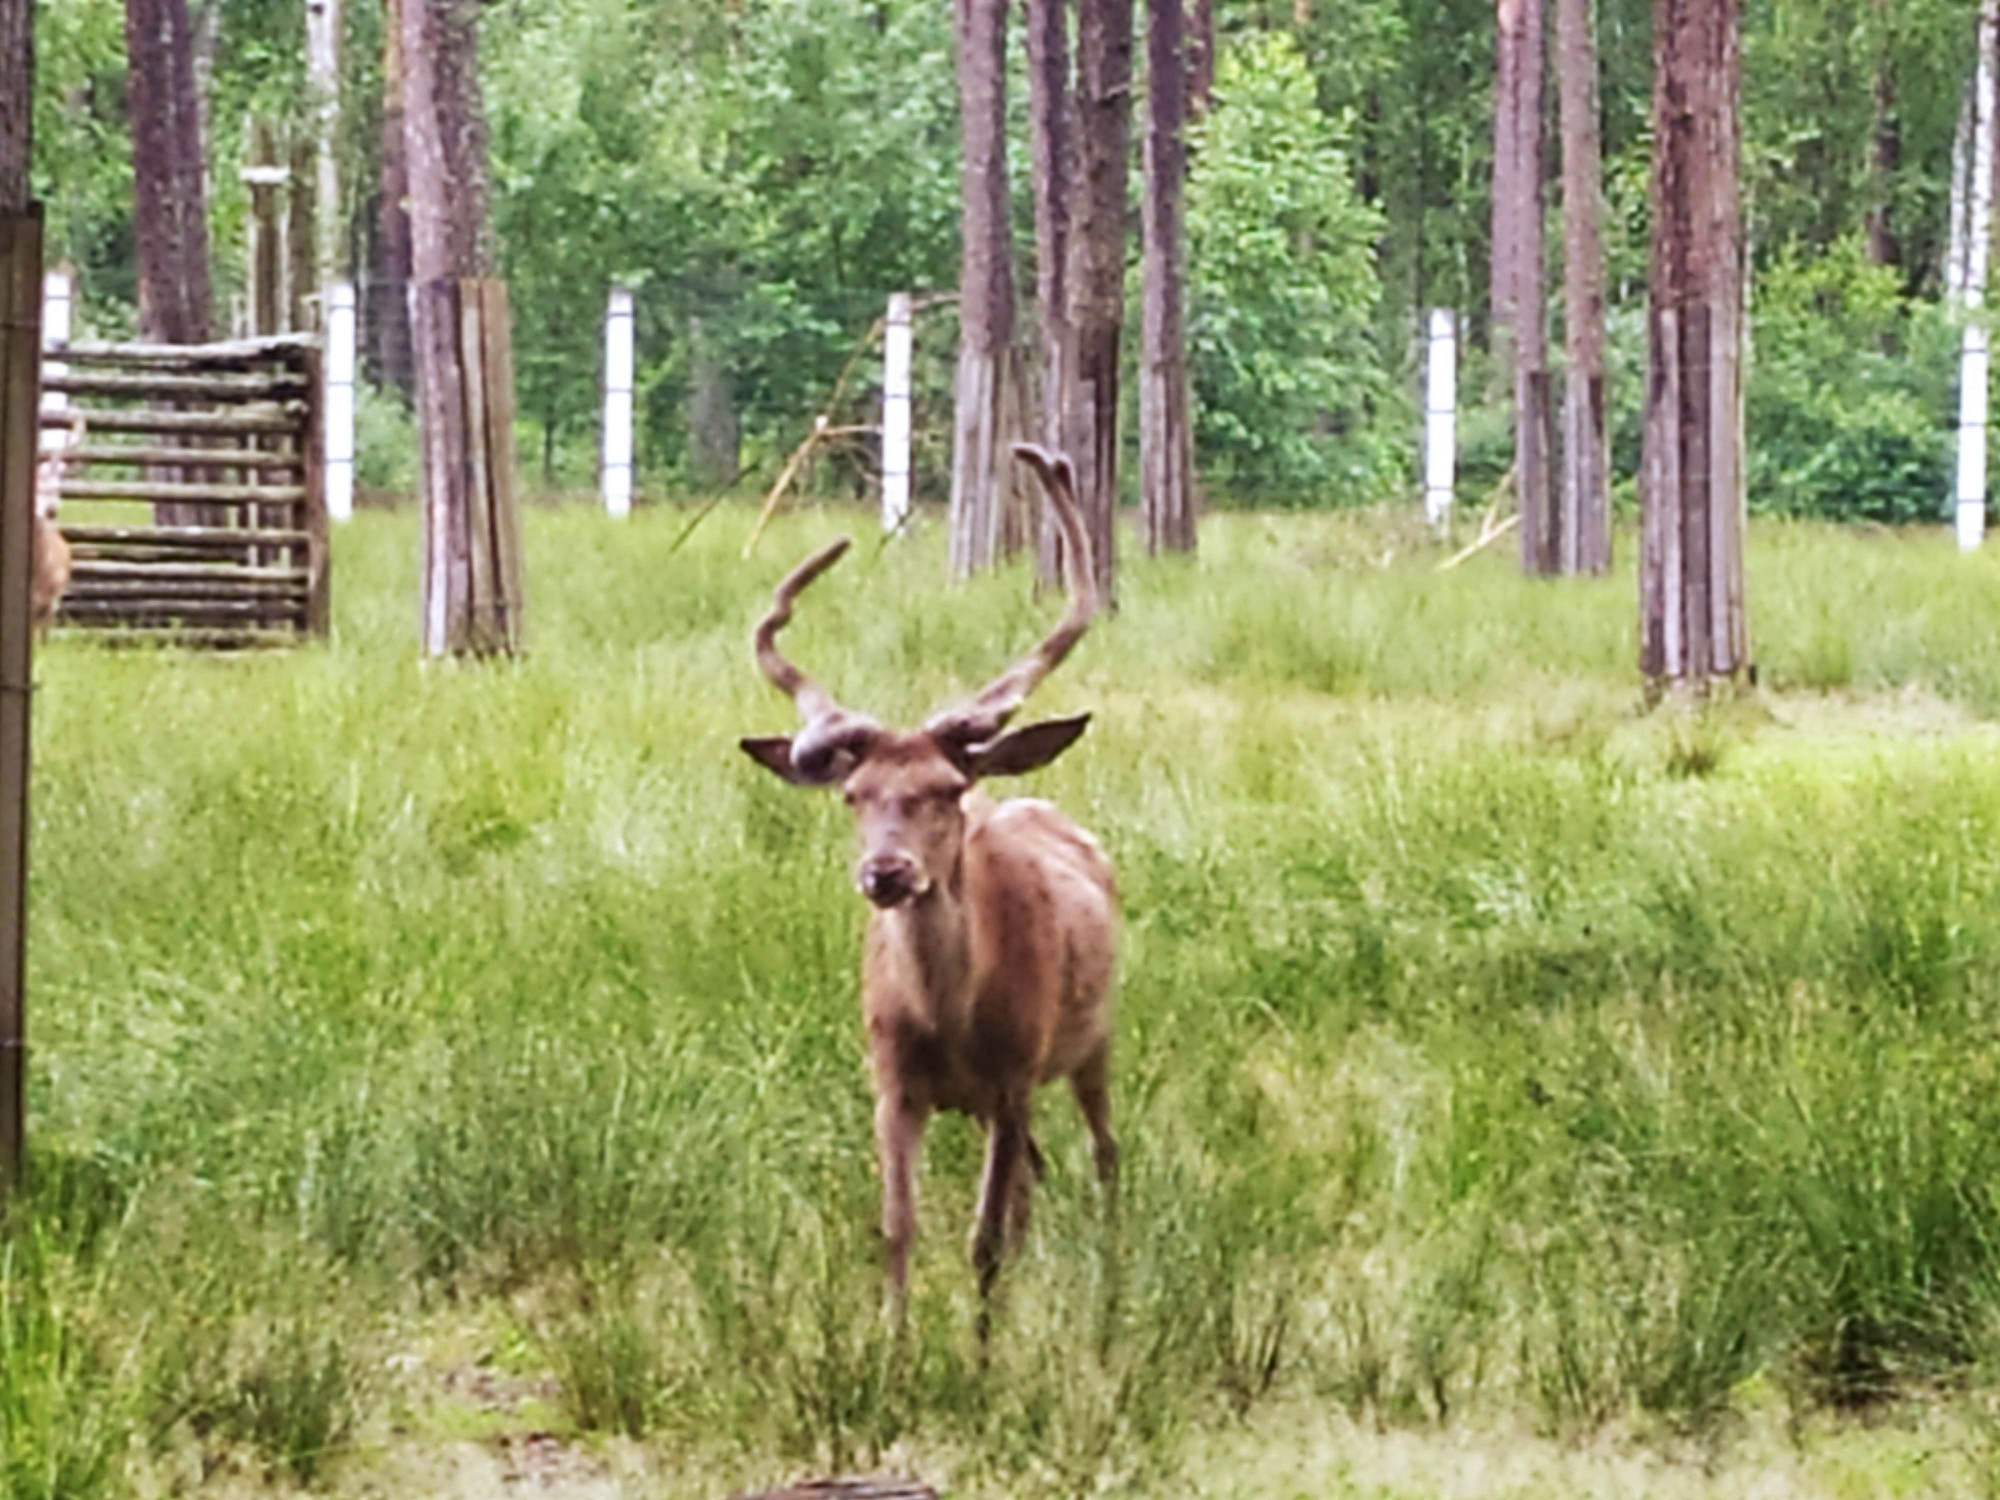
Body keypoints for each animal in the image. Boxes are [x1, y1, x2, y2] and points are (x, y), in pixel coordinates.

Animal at [740, 440, 1120, 1336]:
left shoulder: (1015, 1075)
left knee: (1105, 1158)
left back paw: (1114, 1301)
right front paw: (895, 1345)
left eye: (947, 790)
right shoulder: (891, 1079)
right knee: (1035, 1186)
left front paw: (981, 1353)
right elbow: (899, 1227)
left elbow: (983, 1240)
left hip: (1092, 1040)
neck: (950, 1022)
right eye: (853, 794)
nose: (887, 872)